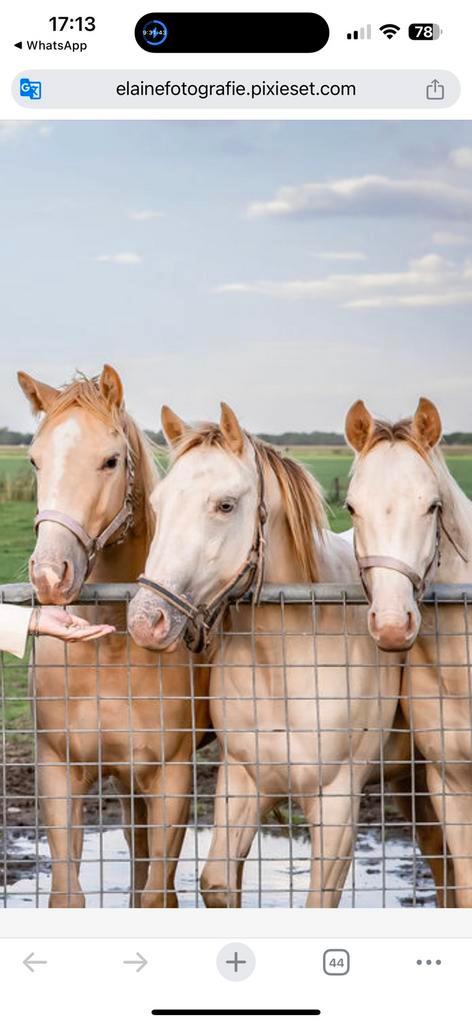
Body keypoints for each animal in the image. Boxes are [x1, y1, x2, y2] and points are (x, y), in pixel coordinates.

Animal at [18, 365, 210, 907]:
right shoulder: (58, 772)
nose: (49, 576)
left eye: (111, 460)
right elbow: (67, 894)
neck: (110, 647)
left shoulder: (171, 776)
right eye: (35, 460)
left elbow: (156, 894)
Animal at [128, 402, 402, 908]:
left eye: (225, 505)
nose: (145, 619)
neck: (288, 657)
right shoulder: (242, 780)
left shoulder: (338, 801)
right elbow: (219, 884)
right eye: (158, 505)